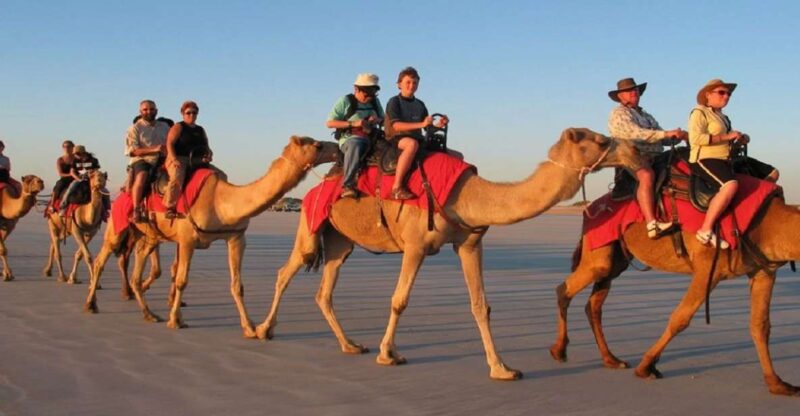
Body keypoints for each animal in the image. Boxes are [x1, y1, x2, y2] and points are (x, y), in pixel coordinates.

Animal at [84, 136, 340, 337]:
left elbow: (237, 285)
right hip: (117, 226)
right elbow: (182, 280)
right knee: (100, 260)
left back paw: (149, 314)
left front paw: (250, 328)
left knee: (137, 272)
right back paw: (91, 305)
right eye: (317, 145)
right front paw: (176, 320)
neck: (222, 200)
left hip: (149, 237)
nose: (337, 147)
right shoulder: (187, 239)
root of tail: (121, 194)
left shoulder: (236, 238)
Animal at [255, 128, 641, 380]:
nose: (636, 152)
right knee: (286, 271)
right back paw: (262, 330)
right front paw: (388, 354)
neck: (468, 195)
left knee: (325, 289)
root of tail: (317, 188)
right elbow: (399, 300)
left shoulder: (469, 243)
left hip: (340, 241)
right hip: (310, 223)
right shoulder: (414, 244)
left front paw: (502, 368)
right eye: (601, 140)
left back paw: (350, 345)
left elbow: (480, 305)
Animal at [550, 196, 800, 396]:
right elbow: (680, 318)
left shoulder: (764, 271)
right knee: (565, 288)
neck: (771, 225)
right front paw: (646, 367)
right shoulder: (708, 267)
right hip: (598, 251)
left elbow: (760, 326)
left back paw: (611, 359)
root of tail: (588, 210)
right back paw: (559, 350)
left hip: (616, 258)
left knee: (593, 303)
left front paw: (777, 384)